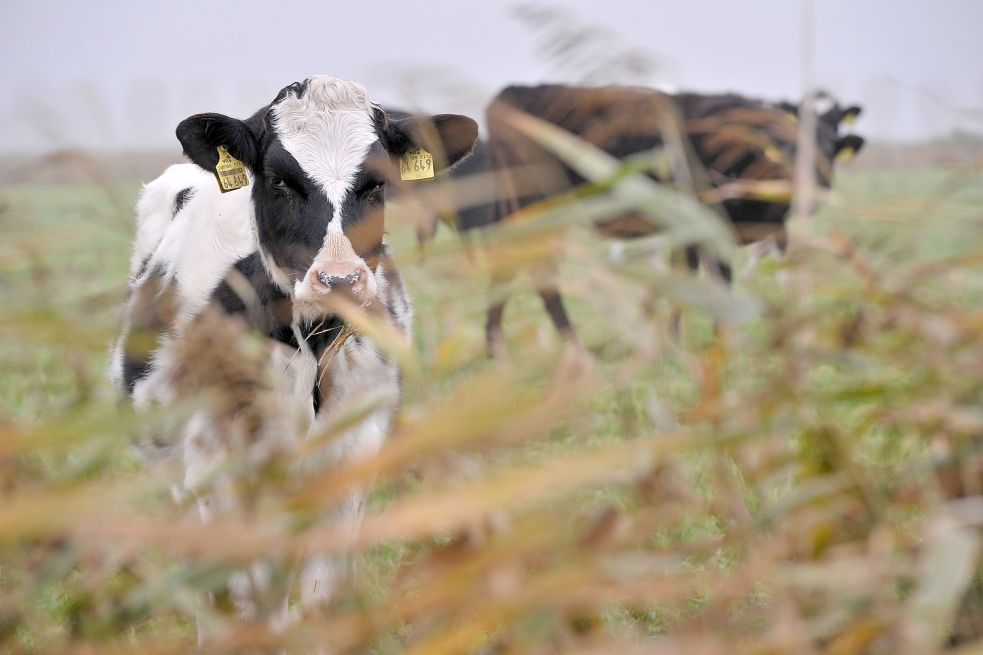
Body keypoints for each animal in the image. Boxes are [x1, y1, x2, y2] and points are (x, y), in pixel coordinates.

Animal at [109, 75, 478, 632]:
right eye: (280, 181)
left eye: (376, 184)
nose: (340, 280)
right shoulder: (218, 461)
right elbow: (244, 603)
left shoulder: (354, 451)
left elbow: (323, 600)